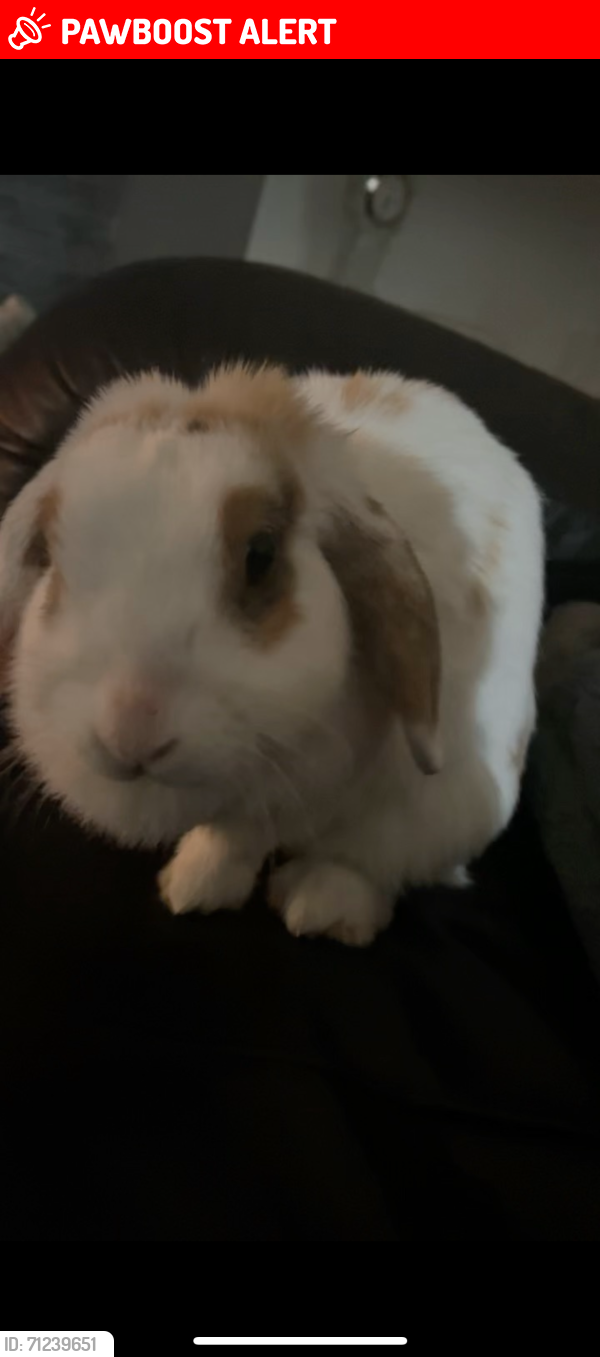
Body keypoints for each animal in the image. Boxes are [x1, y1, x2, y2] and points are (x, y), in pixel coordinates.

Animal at [0, 363, 544, 945]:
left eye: (260, 556)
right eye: (52, 557)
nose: (131, 736)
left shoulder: (301, 782)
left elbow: (243, 833)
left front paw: (192, 888)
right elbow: (231, 835)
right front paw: (191, 888)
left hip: (447, 808)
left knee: (378, 859)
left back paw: (322, 905)